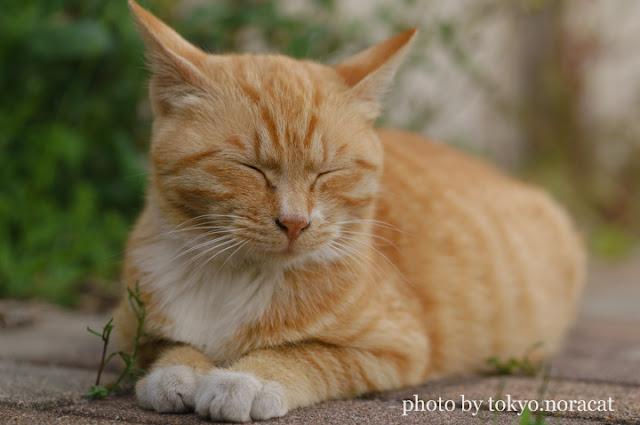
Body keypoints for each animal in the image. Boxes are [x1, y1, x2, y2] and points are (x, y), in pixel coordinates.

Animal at [115, 1, 584, 420]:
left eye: (328, 173)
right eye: (249, 168)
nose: (294, 222)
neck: (236, 277)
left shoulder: (394, 347)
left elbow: (303, 353)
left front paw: (245, 379)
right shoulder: (129, 330)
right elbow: (170, 346)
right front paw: (177, 372)